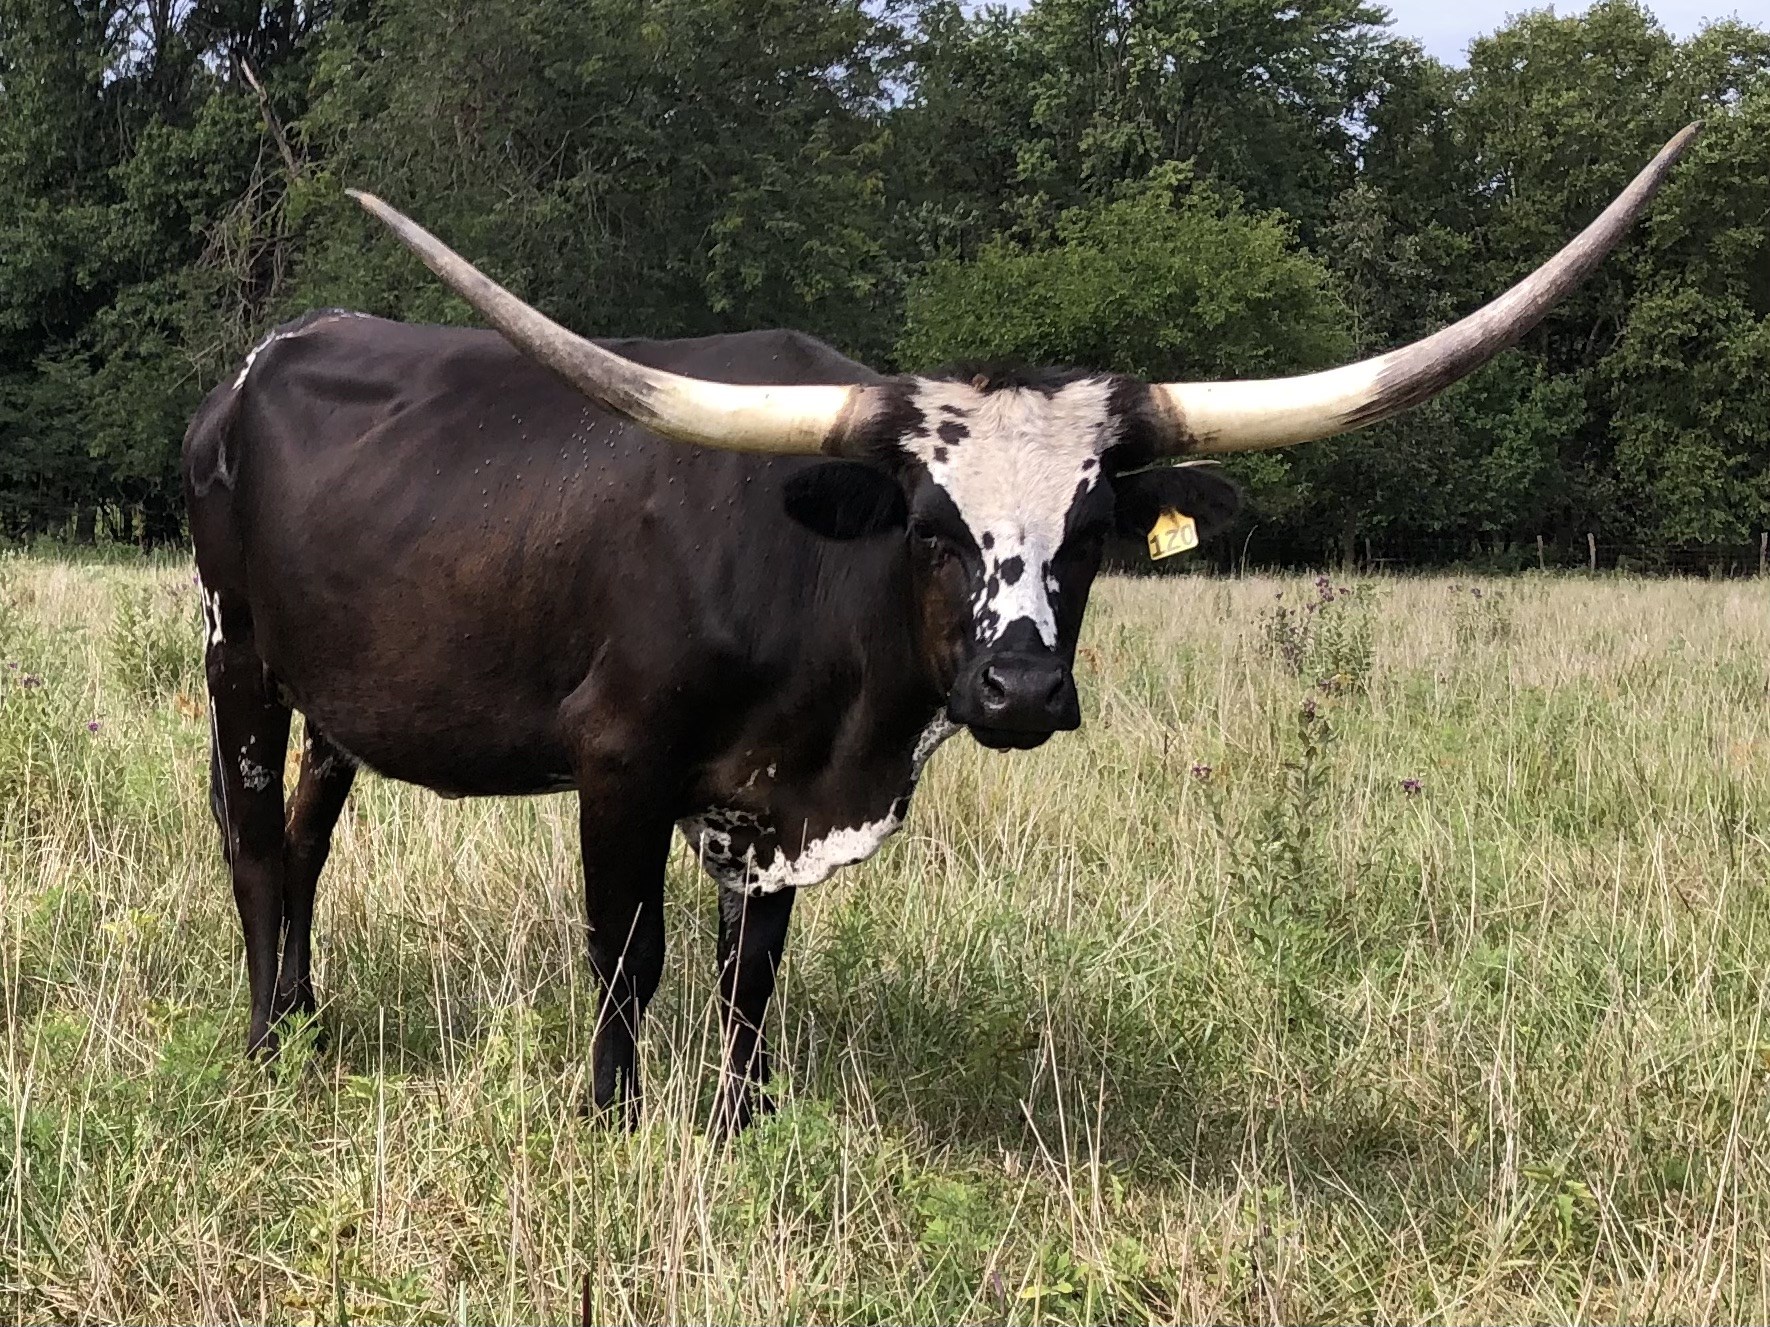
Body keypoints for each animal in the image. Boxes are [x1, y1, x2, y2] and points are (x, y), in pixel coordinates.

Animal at [184, 125, 1697, 1132]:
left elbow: (750, 973)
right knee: (255, 845)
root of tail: (264, 360)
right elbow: (630, 958)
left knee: (310, 840)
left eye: (1091, 532)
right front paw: (612, 1122)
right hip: (237, 655)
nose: (1020, 686)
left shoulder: (773, 799)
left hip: (342, 696)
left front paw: (739, 1125)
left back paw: (310, 1026)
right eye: (927, 523)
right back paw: (264, 1047)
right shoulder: (621, 762)